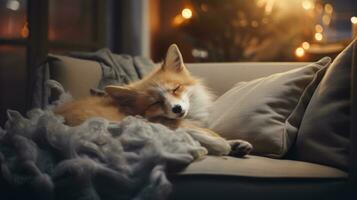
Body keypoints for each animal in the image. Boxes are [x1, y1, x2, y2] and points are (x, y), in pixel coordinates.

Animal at [54, 43, 252, 156]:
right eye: (155, 102)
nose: (177, 109)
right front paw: (224, 145)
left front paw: (236, 144)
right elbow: (210, 137)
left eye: (176, 88)